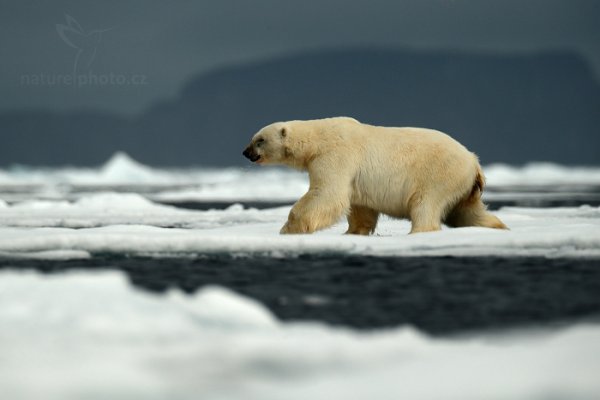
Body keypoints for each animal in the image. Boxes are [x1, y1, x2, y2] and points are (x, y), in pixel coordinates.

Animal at [241, 115, 504, 234]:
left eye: (259, 140)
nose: (245, 152)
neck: (317, 139)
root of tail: (474, 162)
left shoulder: (336, 156)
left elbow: (327, 194)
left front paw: (288, 229)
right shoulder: (355, 176)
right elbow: (360, 207)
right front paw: (353, 232)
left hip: (440, 174)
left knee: (425, 204)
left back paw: (419, 232)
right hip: (464, 187)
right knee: (467, 212)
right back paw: (496, 226)